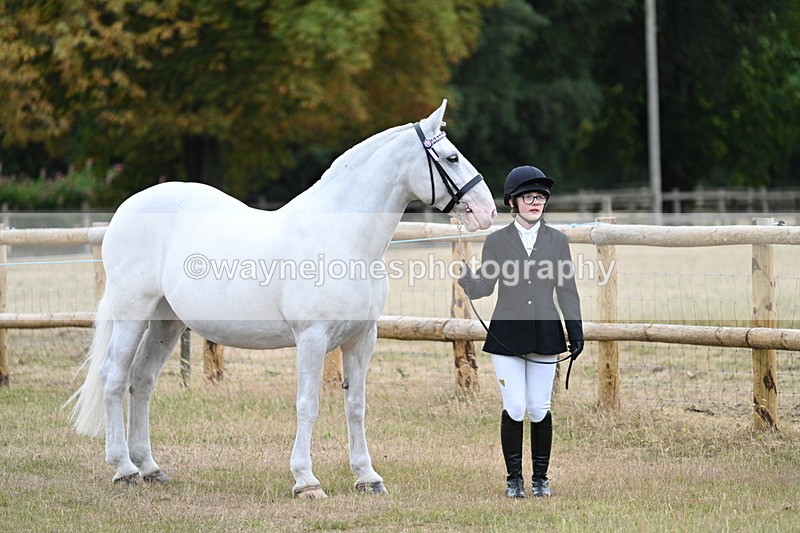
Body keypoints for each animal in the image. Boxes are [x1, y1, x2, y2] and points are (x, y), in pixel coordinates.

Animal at [67, 100, 497, 499]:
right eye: (452, 157)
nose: (488, 211)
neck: (344, 240)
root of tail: (126, 208)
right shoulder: (312, 338)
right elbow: (308, 404)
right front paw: (306, 481)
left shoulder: (362, 339)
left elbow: (356, 406)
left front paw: (367, 477)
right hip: (132, 311)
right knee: (114, 377)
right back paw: (124, 469)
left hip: (166, 321)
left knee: (142, 380)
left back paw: (150, 468)